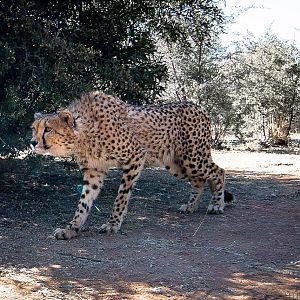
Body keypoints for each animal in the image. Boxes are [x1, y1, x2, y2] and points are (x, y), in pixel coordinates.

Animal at [30, 91, 233, 239]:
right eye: (34, 128)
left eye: (48, 129)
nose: (32, 142)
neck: (84, 133)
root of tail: (199, 107)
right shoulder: (94, 171)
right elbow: (83, 202)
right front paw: (72, 228)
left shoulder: (136, 156)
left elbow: (121, 196)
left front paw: (112, 224)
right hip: (175, 164)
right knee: (199, 180)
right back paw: (191, 206)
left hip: (193, 158)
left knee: (218, 171)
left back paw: (217, 204)